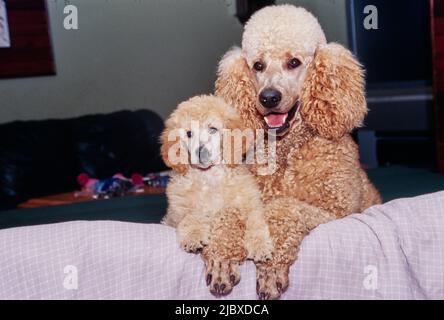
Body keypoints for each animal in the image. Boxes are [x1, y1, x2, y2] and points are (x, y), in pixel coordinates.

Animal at [160, 94, 274, 296]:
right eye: (189, 133)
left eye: (212, 129)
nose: (200, 152)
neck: (210, 177)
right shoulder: (177, 211)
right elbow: (192, 214)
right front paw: (193, 236)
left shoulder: (249, 203)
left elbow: (255, 222)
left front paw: (260, 245)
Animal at [215, 5, 382, 300]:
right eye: (257, 65)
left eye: (294, 62)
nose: (268, 97)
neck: (286, 152)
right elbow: (229, 213)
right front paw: (222, 259)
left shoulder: (334, 211)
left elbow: (285, 209)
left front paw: (270, 267)